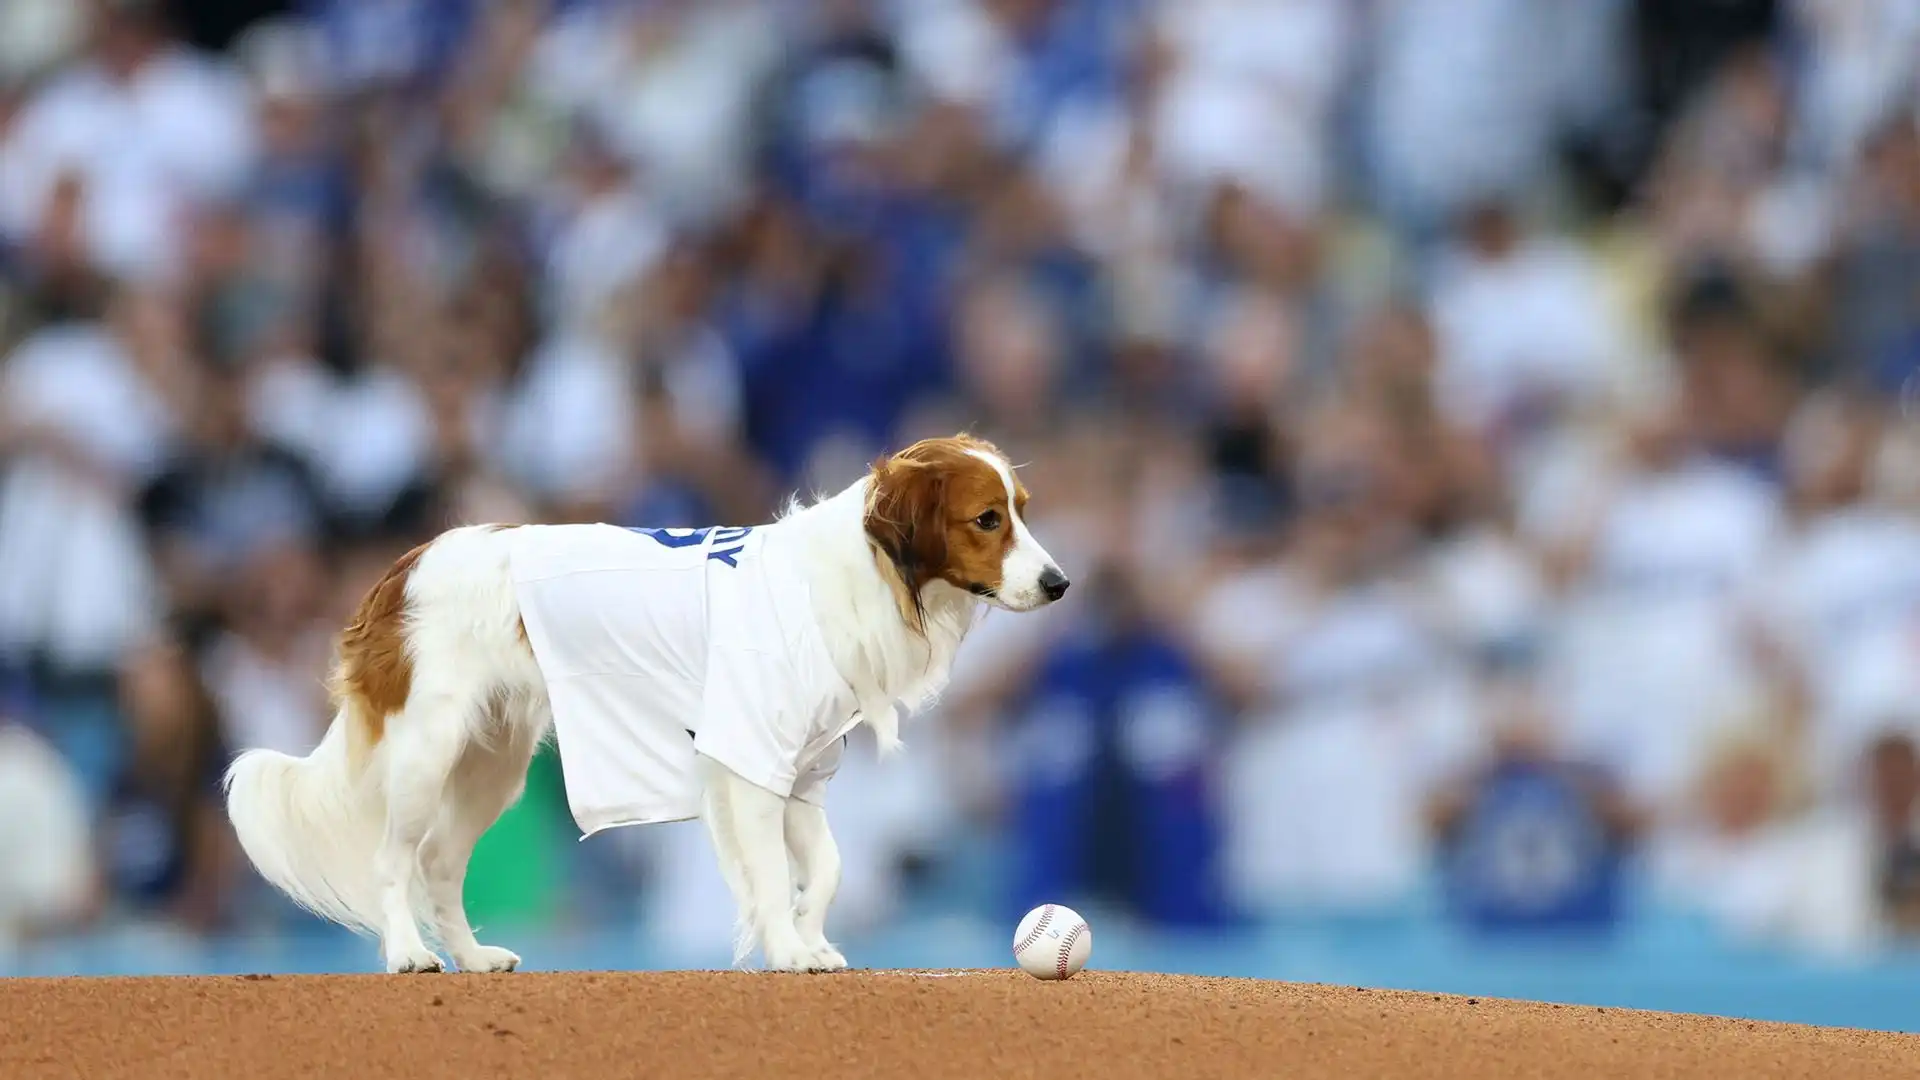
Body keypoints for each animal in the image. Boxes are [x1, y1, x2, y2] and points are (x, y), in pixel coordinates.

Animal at [228, 432, 1067, 972]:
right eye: (987, 519)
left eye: (1025, 510)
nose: (1060, 584)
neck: (859, 572)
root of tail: (405, 564)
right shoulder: (751, 764)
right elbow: (770, 873)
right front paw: (789, 950)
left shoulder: (802, 768)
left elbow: (826, 869)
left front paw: (808, 934)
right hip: (425, 755)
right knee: (394, 861)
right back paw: (408, 954)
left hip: (490, 765)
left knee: (437, 862)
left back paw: (471, 957)